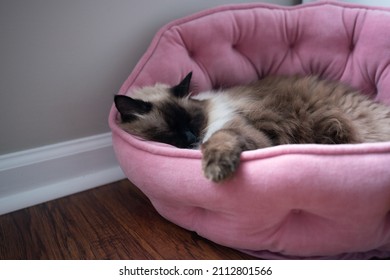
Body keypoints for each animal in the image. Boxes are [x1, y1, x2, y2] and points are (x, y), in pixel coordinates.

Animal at [114, 72, 390, 182]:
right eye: (171, 129)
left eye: (191, 121)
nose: (192, 137)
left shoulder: (243, 132)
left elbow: (218, 140)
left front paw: (215, 171)